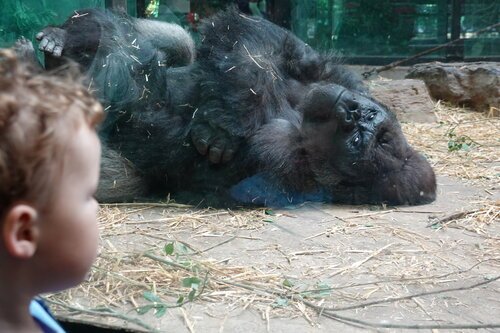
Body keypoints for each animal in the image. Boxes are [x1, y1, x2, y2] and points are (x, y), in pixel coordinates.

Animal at [32, 5, 438, 205]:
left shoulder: (276, 156)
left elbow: (142, 101)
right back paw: (63, 37)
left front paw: (221, 127)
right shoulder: (343, 79)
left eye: (356, 140)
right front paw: (228, 118)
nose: (352, 112)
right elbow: (258, 39)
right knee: (179, 41)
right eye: (367, 118)